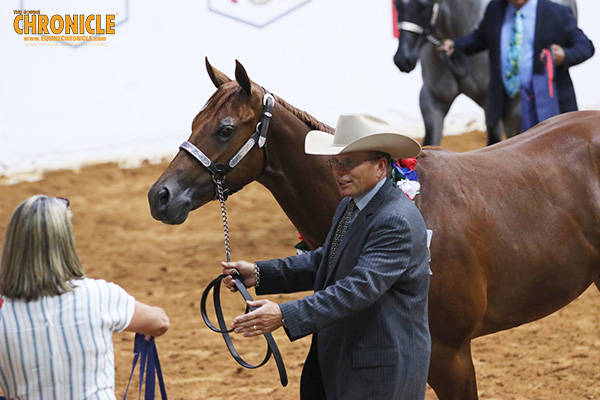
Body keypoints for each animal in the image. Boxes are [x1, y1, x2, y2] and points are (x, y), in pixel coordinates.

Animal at [394, 0, 576, 147]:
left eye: (424, 4)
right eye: (397, 4)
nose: (403, 59)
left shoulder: (492, 102)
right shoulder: (432, 99)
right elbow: (430, 142)